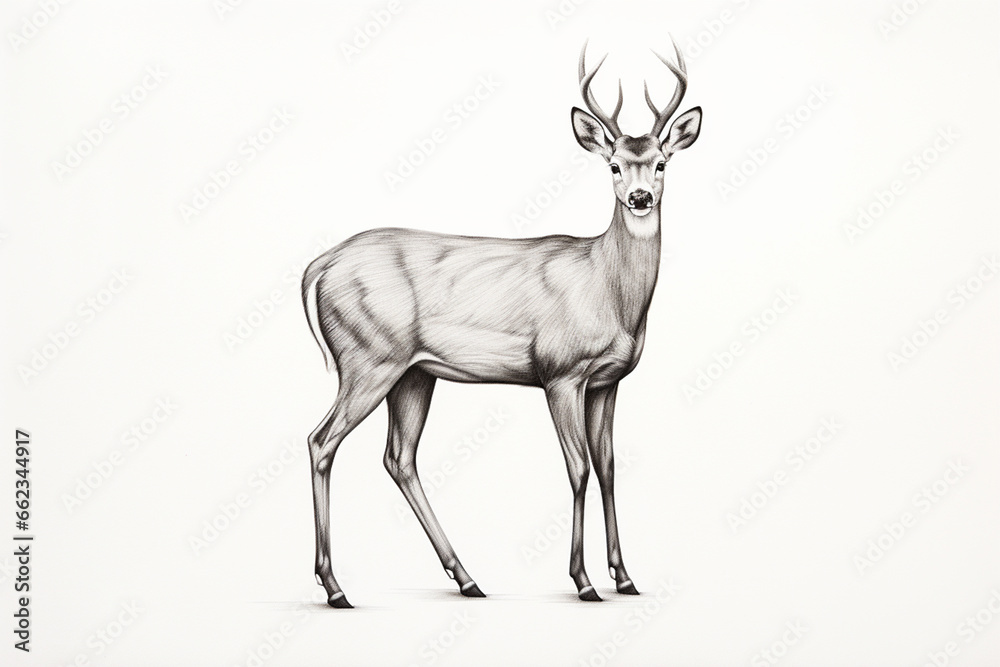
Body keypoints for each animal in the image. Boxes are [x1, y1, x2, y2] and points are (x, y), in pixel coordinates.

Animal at [302, 38, 701, 608]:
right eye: (614, 167)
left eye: (662, 162)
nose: (640, 198)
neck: (607, 289)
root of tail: (320, 264)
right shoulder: (560, 372)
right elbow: (578, 468)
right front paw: (583, 581)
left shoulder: (607, 381)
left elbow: (608, 468)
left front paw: (625, 577)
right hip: (367, 358)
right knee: (322, 441)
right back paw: (336, 587)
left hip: (412, 373)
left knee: (398, 456)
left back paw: (466, 578)